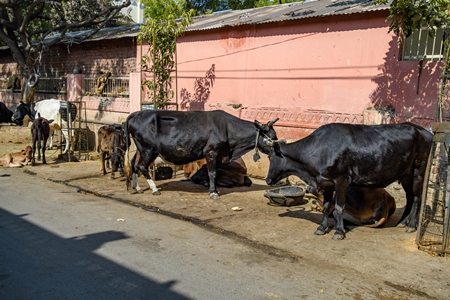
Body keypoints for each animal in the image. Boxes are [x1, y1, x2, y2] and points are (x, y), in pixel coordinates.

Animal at [121, 109, 280, 199]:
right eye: (271, 137)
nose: (279, 149)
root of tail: (136, 113)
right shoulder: (211, 152)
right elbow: (212, 173)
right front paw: (213, 192)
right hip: (148, 149)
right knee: (142, 167)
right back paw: (154, 189)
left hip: (140, 149)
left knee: (134, 164)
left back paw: (138, 188)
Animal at [266, 120, 434, 240]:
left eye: (271, 157)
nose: (267, 180)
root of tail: (425, 131)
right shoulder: (326, 183)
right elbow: (326, 206)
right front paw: (321, 228)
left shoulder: (342, 181)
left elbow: (339, 207)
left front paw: (339, 232)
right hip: (405, 175)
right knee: (410, 197)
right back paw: (402, 222)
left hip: (419, 170)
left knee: (417, 198)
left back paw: (411, 225)